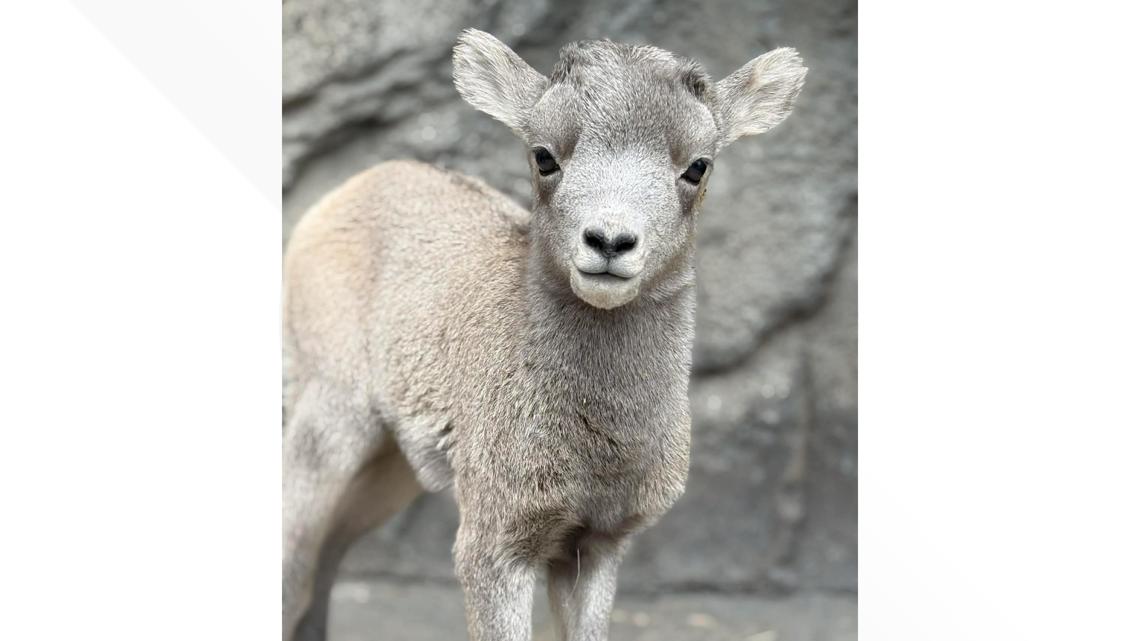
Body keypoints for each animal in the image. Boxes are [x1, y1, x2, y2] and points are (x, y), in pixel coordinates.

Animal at [282, 28, 807, 641]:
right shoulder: (497, 546)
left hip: (389, 465)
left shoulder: (596, 545)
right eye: (544, 156)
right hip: (331, 421)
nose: (609, 241)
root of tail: (337, 200)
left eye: (698, 166)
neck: (597, 445)